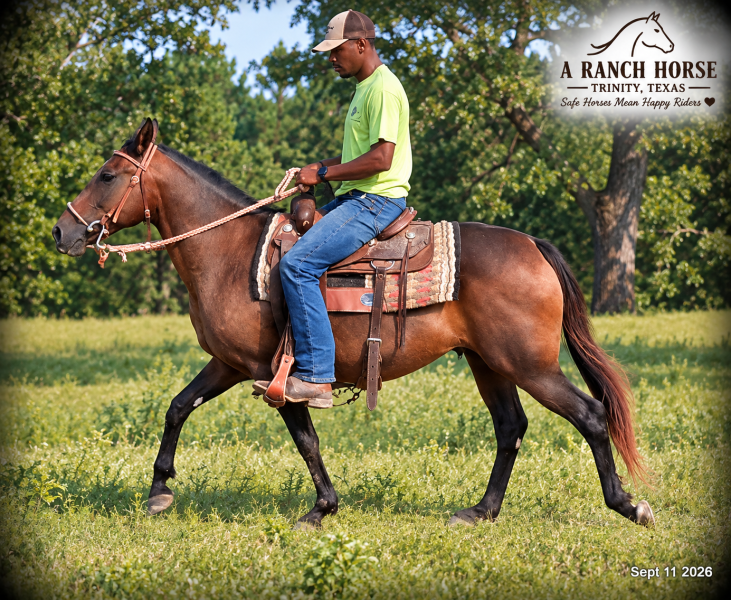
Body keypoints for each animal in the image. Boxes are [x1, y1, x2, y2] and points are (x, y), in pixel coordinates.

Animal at [52, 118, 655, 528]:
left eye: (107, 175)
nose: (63, 231)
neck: (229, 253)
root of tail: (532, 244)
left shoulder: (275, 373)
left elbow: (306, 440)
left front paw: (321, 508)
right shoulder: (229, 364)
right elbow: (178, 407)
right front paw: (160, 489)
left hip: (529, 364)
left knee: (591, 416)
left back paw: (627, 504)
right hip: (490, 364)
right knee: (511, 429)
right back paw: (480, 511)